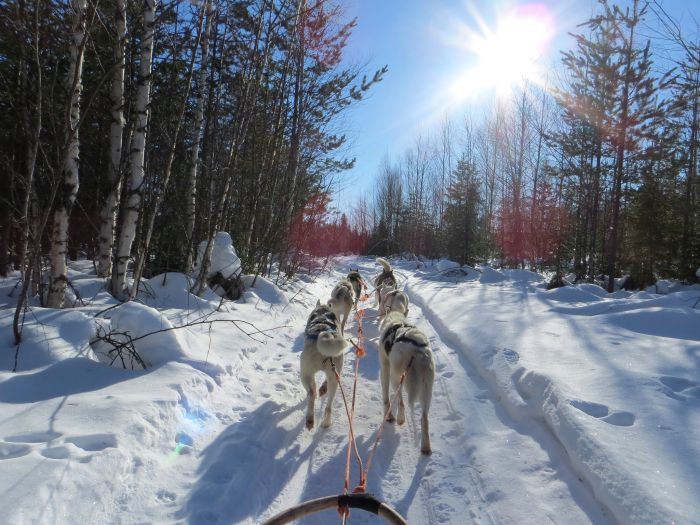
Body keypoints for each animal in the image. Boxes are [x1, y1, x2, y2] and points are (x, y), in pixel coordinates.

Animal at [300, 300, 348, 428]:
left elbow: (313, 387)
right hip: (334, 377)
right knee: (328, 405)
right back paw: (326, 422)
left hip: (304, 374)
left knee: (311, 393)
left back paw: (310, 418)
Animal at [378, 312, 432, 454]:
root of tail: (416, 351)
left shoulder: (385, 367)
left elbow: (385, 395)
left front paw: (388, 415)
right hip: (427, 390)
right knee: (424, 419)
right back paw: (425, 447)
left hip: (396, 376)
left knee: (401, 401)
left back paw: (400, 418)